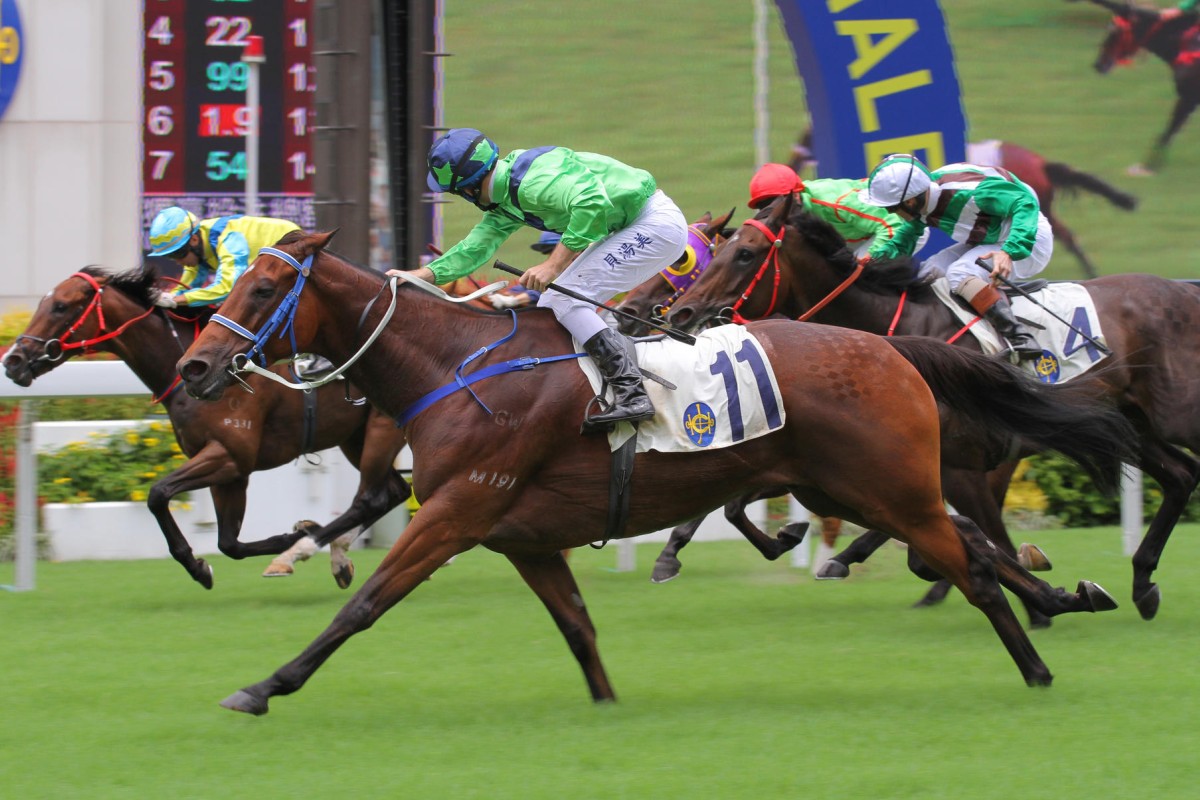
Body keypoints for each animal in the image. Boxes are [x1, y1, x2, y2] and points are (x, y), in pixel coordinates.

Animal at [2, 266, 410, 592]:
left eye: (60, 306)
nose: (13, 361)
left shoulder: (229, 456)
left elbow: (158, 494)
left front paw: (205, 564)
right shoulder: (228, 471)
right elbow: (229, 543)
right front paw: (288, 536)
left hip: (381, 430)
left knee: (372, 497)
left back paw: (311, 550)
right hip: (354, 439)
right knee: (393, 491)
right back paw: (335, 556)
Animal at [174, 231, 1128, 714]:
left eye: (263, 292)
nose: (194, 367)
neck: (453, 364)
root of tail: (890, 347)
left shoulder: (455, 512)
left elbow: (366, 603)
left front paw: (265, 685)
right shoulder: (521, 536)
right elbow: (578, 627)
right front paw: (606, 705)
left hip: (888, 487)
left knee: (971, 565)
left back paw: (1037, 665)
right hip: (852, 487)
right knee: (972, 547)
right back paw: (1065, 596)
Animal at [672, 194, 1200, 618]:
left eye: (745, 254)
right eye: (719, 251)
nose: (682, 312)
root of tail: (1183, 288)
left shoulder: (964, 467)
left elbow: (979, 536)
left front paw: (1037, 601)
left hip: (1174, 414)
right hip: (1131, 421)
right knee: (1180, 475)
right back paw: (1143, 583)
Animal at [1075, 0, 1200, 173]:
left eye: (1115, 31)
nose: (1098, 64)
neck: (1185, 43)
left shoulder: (1188, 97)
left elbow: (1167, 133)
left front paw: (1147, 167)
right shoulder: (1189, 99)